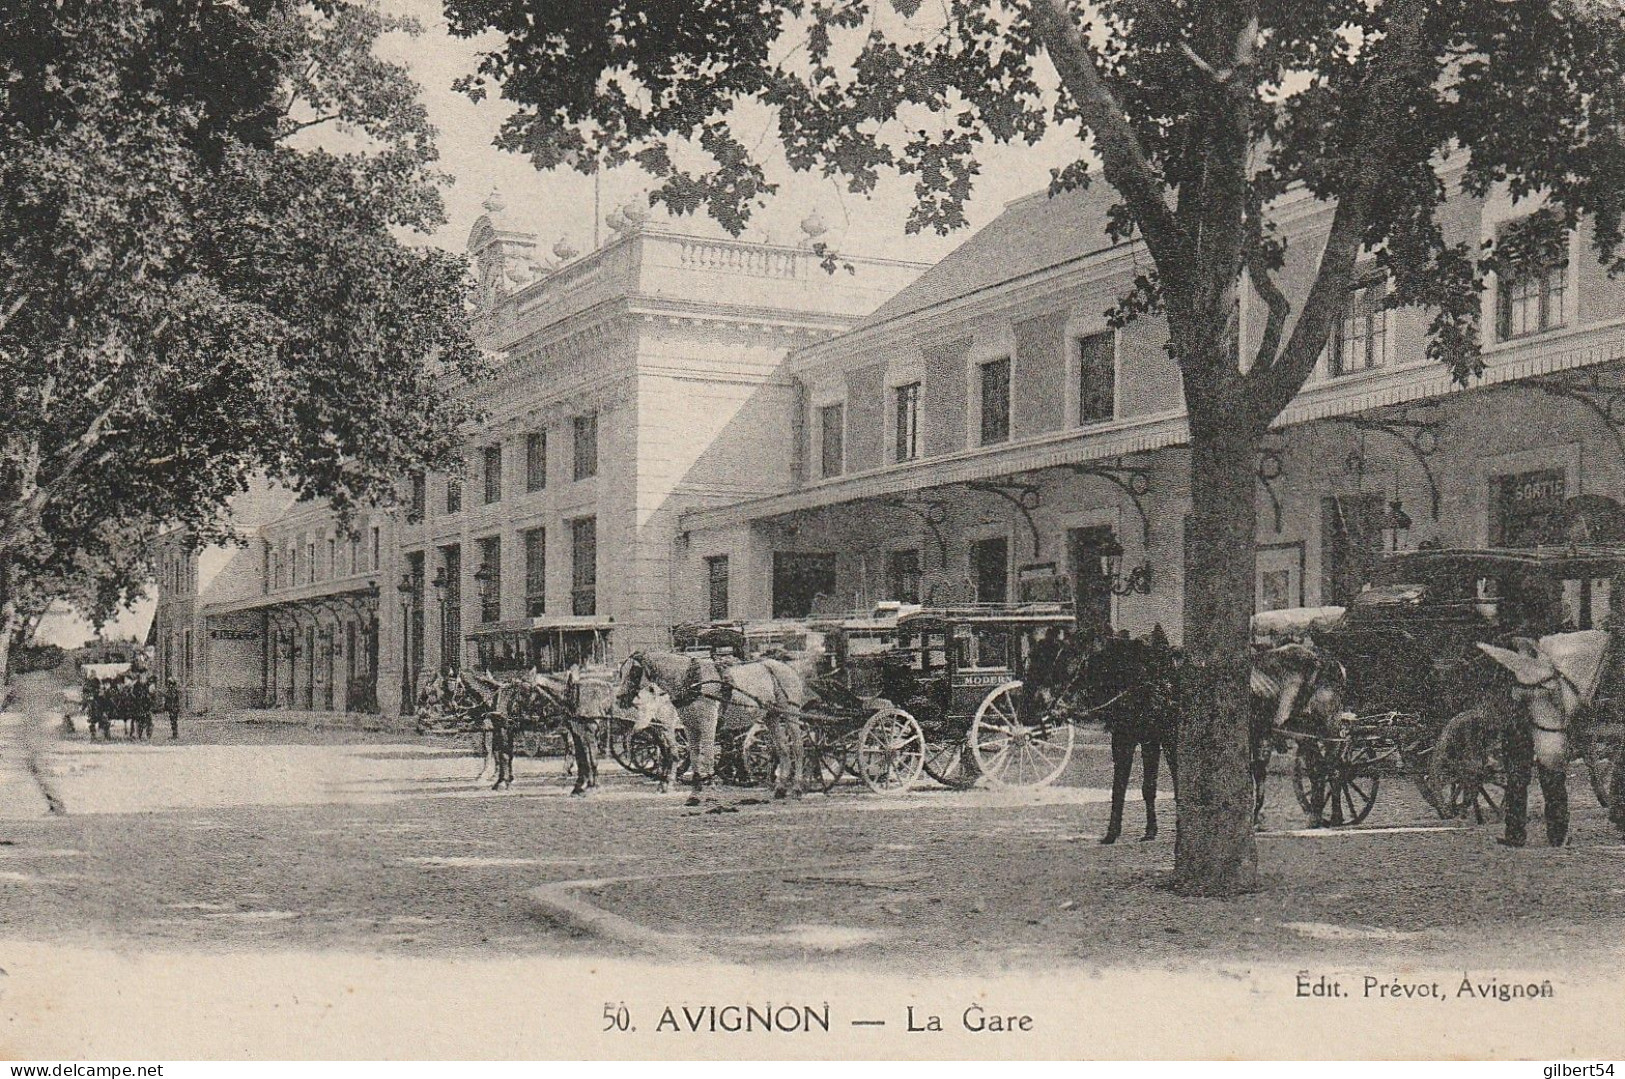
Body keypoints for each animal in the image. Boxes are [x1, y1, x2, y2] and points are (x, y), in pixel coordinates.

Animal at [611, 650, 809, 799]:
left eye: (634, 671)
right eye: (621, 672)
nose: (619, 697)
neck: (691, 680)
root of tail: (788, 668)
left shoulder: (707, 723)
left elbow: (706, 755)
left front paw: (710, 788)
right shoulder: (690, 726)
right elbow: (694, 756)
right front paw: (695, 791)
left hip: (790, 714)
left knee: (798, 747)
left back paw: (797, 787)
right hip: (771, 716)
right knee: (782, 748)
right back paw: (781, 789)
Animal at [1248, 640, 1352, 825]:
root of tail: (1334, 662)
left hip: (1328, 725)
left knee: (1333, 767)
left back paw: (1332, 816)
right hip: (1305, 733)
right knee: (1317, 767)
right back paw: (1316, 815)